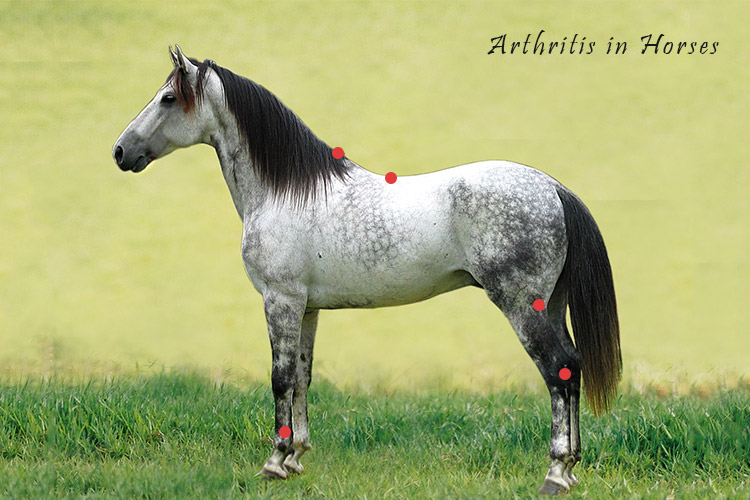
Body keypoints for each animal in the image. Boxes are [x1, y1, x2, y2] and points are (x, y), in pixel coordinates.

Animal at [113, 46, 621, 495]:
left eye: (168, 98)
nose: (120, 152)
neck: (283, 191)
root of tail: (552, 188)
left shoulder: (281, 301)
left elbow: (279, 378)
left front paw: (274, 464)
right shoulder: (307, 307)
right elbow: (301, 378)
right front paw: (296, 458)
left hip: (521, 305)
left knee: (557, 370)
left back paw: (555, 473)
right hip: (550, 304)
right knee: (573, 367)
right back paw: (571, 469)